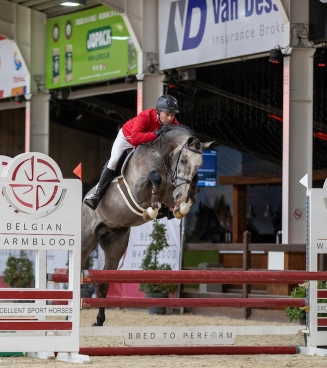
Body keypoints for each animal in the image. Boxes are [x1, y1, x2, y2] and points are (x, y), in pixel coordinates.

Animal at [81, 125, 214, 326]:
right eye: (183, 160)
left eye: (199, 165)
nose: (180, 195)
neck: (164, 155)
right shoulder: (138, 191)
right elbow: (155, 177)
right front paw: (152, 210)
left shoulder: (173, 193)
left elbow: (194, 187)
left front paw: (178, 209)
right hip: (85, 241)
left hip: (115, 245)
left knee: (104, 282)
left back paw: (99, 320)